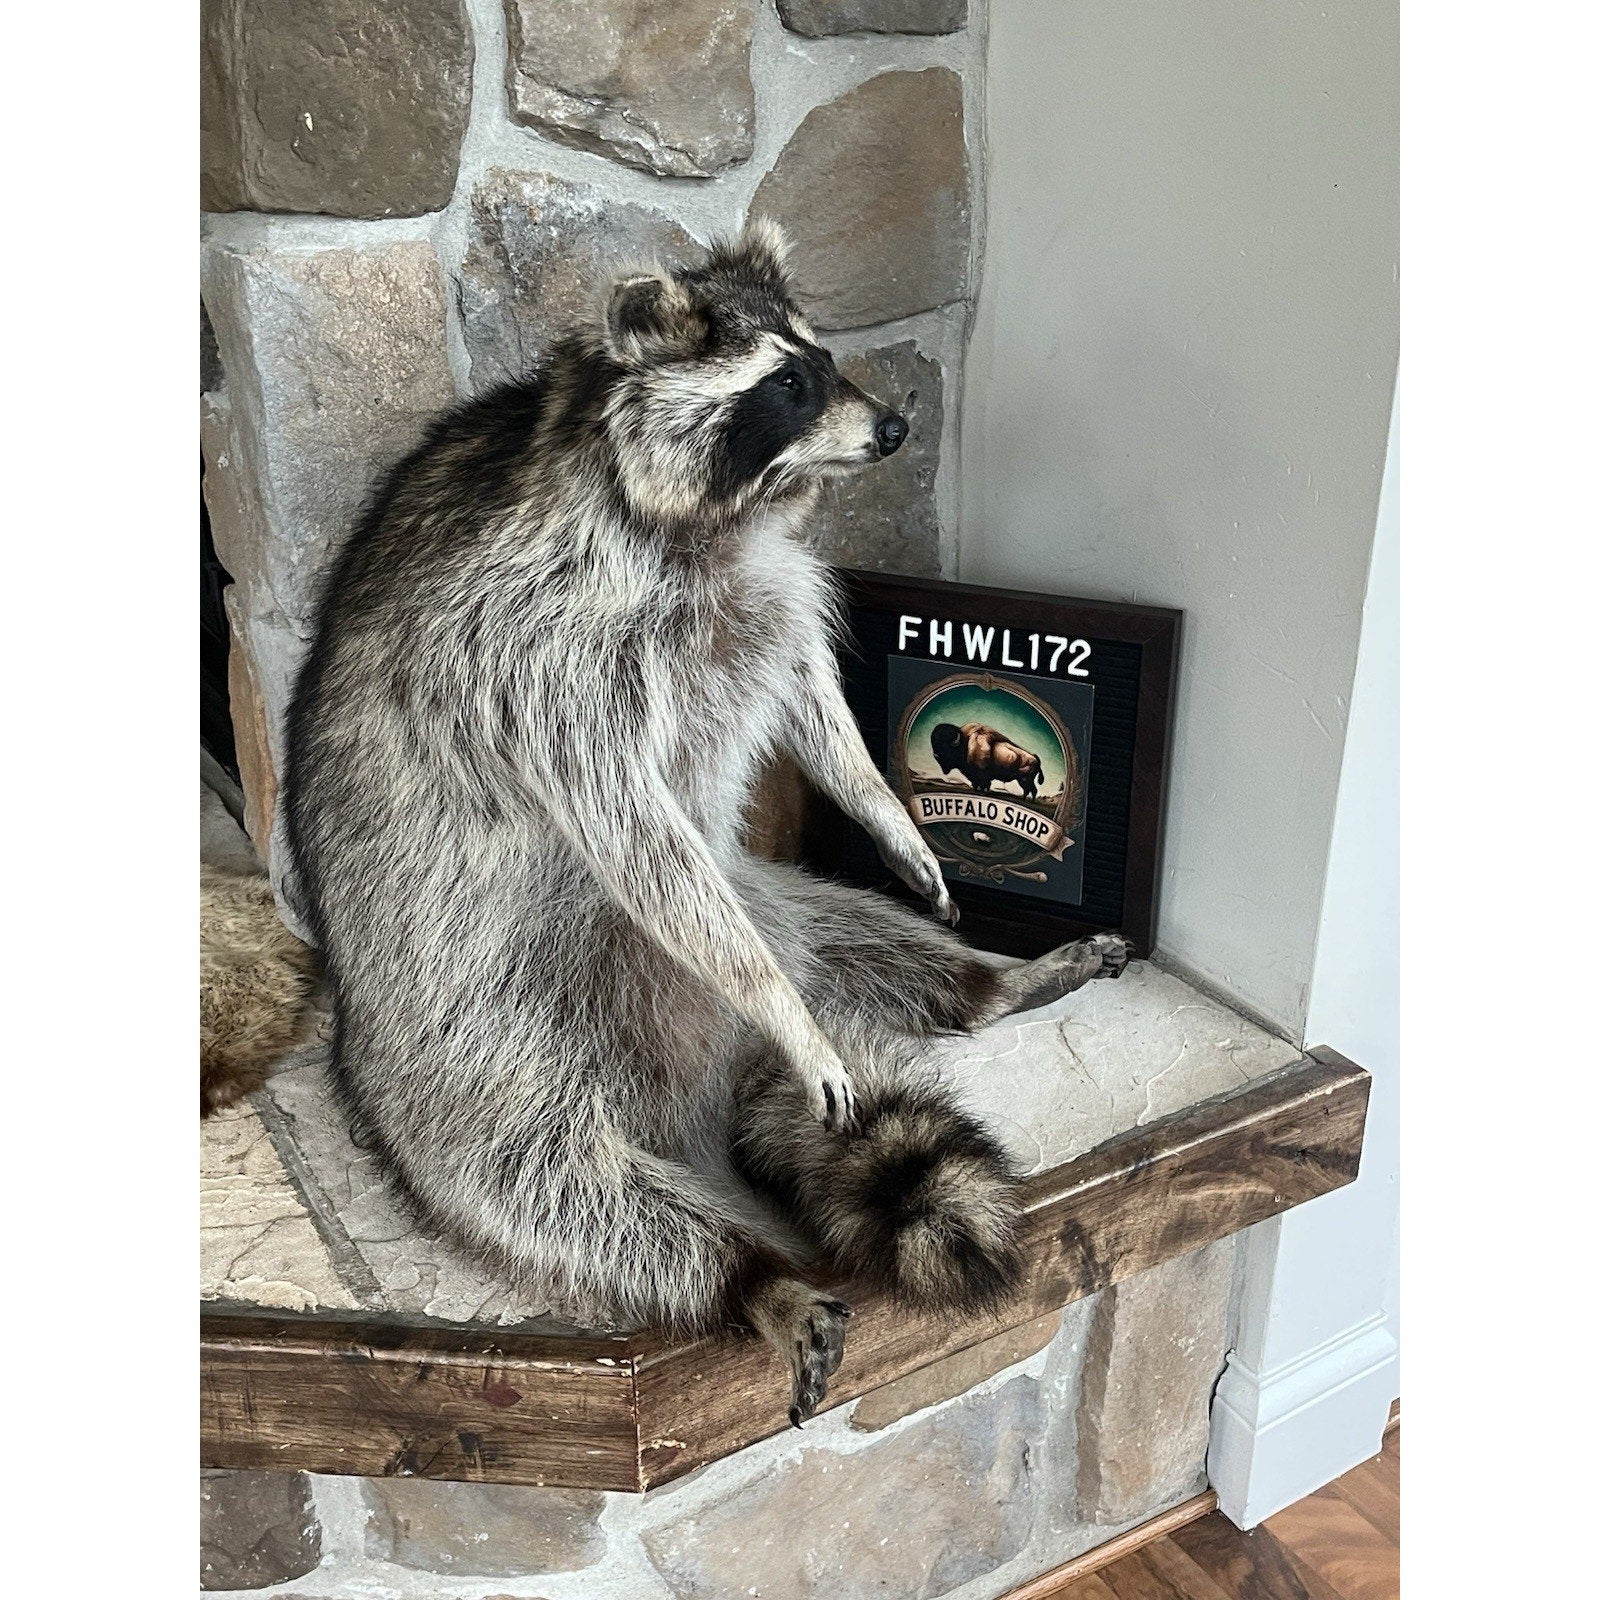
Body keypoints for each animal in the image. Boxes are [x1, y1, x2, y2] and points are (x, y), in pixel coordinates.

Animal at [284, 221, 1129, 1424]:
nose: (893, 426)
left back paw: (981, 984)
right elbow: (631, 829)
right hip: (462, 1030)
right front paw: (779, 1001)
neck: (714, 517)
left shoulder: (764, 594)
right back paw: (745, 1268)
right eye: (786, 383)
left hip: (765, 894)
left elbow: (808, 692)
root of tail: (701, 1081)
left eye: (826, 359)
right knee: (544, 1175)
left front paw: (884, 808)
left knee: (840, 930)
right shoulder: (529, 646)